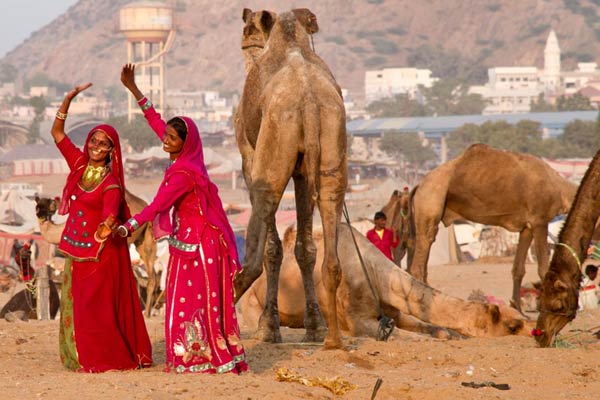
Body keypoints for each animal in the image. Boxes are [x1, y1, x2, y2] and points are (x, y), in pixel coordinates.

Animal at [234, 7, 346, 348]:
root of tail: (307, 99)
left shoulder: (249, 156)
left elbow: (274, 246)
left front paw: (269, 327)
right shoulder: (301, 170)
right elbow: (305, 247)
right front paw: (314, 325)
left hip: (273, 145)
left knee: (265, 202)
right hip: (331, 144)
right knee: (330, 205)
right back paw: (332, 338)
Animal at [239, 223, 536, 340]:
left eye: (522, 317)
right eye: (513, 325)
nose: (536, 330)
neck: (373, 271)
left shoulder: (393, 308)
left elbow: (431, 328)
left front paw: (451, 334)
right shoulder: (355, 321)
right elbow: (398, 334)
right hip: (250, 305)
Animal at [408, 144, 576, 310]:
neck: (559, 188)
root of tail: (419, 185)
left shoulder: (527, 227)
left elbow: (518, 269)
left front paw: (518, 310)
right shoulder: (539, 220)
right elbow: (543, 270)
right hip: (431, 198)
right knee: (422, 253)